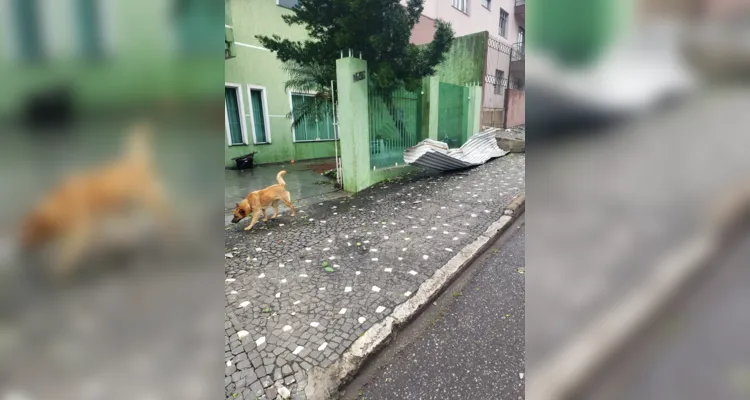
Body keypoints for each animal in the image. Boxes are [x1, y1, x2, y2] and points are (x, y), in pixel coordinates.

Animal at [18, 121, 172, 278]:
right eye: (23, 228)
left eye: (29, 229)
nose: (19, 248)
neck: (62, 204)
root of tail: (137, 161)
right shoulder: (89, 227)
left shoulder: (81, 231)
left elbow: (66, 254)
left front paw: (59, 269)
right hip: (128, 205)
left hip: (152, 201)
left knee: (167, 216)